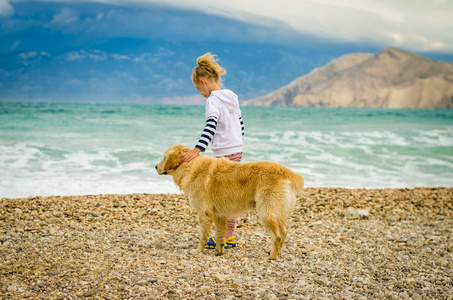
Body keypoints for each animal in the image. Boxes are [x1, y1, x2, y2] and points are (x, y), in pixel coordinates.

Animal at [155, 144, 304, 258]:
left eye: (164, 157)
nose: (155, 167)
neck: (189, 166)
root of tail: (284, 171)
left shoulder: (204, 213)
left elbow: (203, 235)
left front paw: (198, 250)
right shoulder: (220, 215)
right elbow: (220, 235)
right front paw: (219, 251)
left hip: (266, 212)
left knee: (277, 236)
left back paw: (272, 257)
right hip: (277, 211)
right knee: (284, 233)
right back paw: (278, 253)